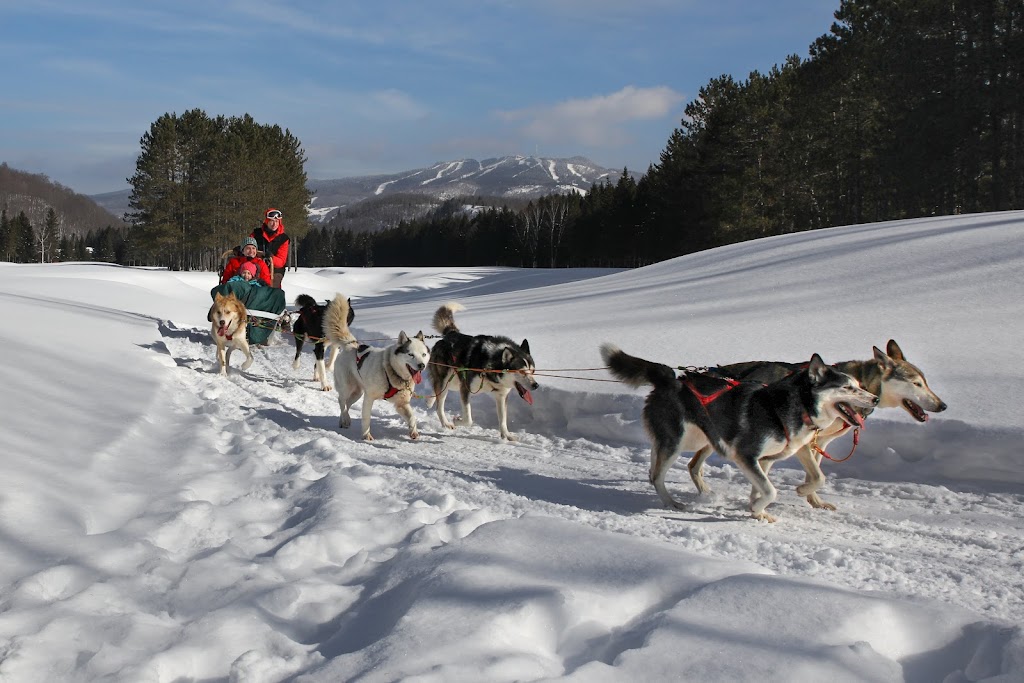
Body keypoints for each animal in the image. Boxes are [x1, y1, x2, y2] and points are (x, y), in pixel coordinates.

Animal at [321, 296, 430, 440]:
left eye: (424, 354)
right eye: (410, 354)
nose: (422, 365)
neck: (391, 371)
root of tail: (352, 345)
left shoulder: (402, 404)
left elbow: (412, 417)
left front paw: (414, 432)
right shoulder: (369, 398)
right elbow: (366, 418)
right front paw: (366, 435)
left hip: (357, 393)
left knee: (347, 404)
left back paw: (343, 420)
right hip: (347, 387)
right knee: (341, 401)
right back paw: (346, 419)